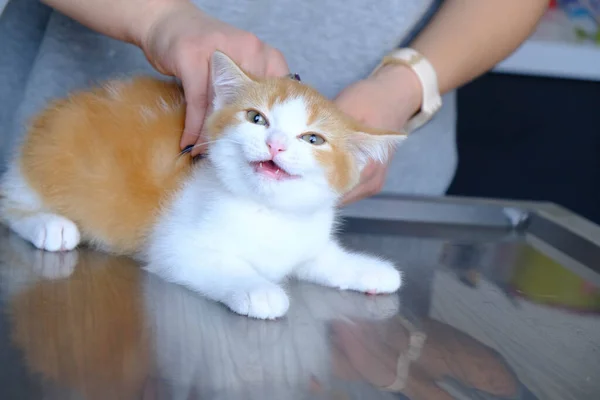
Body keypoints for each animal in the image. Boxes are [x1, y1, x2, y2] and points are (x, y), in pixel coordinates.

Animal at [0, 50, 408, 318]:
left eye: (313, 139)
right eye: (256, 118)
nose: (276, 144)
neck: (267, 212)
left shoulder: (303, 239)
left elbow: (322, 258)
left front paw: (366, 269)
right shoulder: (174, 247)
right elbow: (214, 263)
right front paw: (258, 289)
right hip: (47, 163)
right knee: (9, 203)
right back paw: (49, 225)